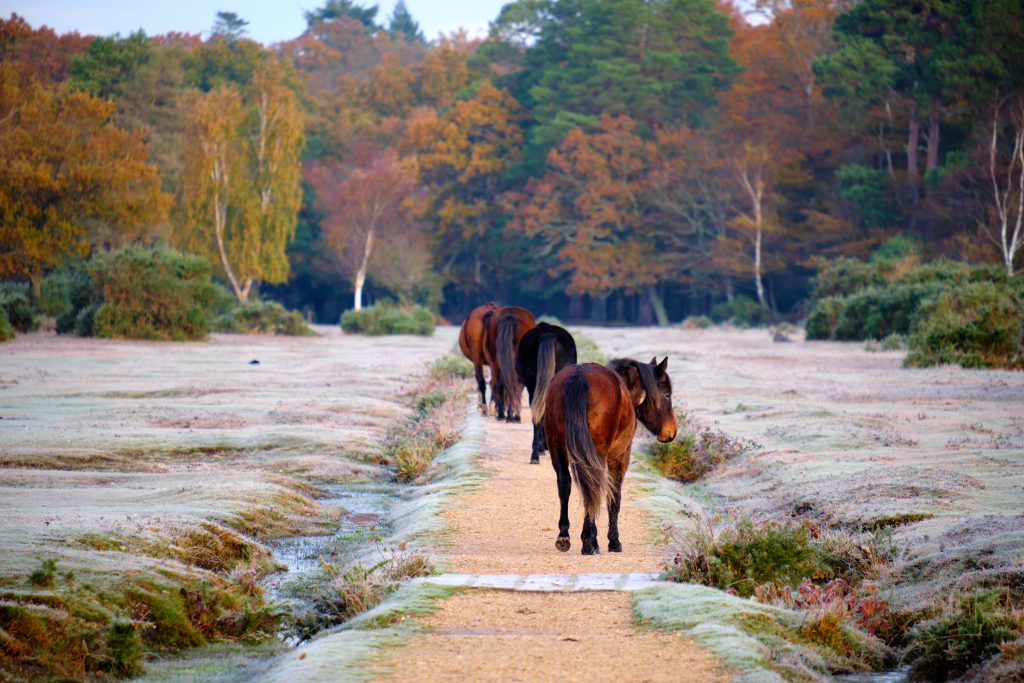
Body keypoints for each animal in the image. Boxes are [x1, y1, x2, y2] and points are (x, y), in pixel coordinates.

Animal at [540, 358, 675, 557]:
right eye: (667, 393)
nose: (671, 431)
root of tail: (577, 377)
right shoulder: (620, 457)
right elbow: (614, 497)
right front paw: (613, 541)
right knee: (592, 487)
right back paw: (589, 543)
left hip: (557, 446)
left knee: (565, 484)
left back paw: (564, 536)